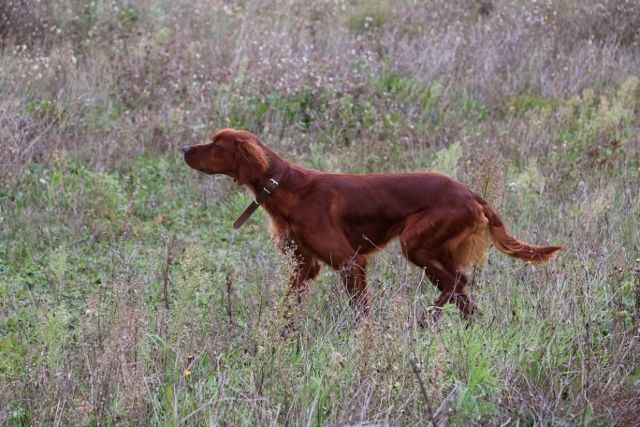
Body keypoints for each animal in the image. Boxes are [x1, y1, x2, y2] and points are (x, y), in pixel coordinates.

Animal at [182, 129, 564, 322]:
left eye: (216, 144)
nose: (184, 147)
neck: (285, 187)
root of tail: (471, 194)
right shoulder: (305, 266)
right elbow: (289, 304)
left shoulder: (350, 262)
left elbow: (360, 309)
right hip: (431, 251)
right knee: (460, 288)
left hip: (415, 242)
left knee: (458, 283)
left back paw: (425, 318)